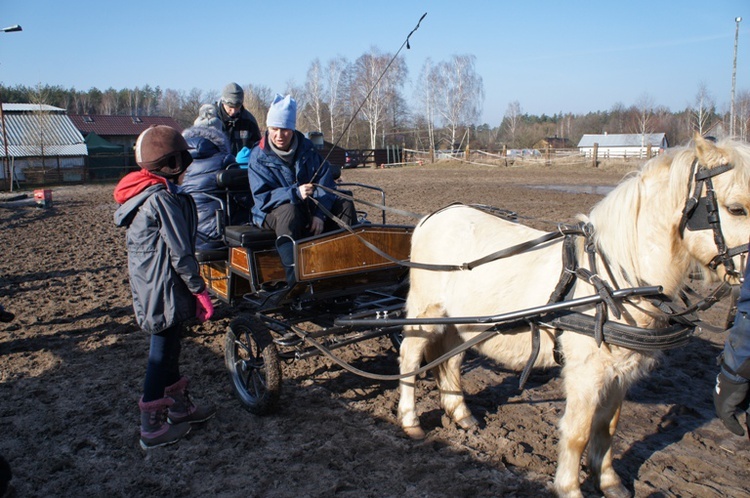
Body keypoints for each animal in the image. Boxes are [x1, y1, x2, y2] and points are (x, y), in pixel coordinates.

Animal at [402, 134, 750, 496]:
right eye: (735, 208)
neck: (613, 281)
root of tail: (433, 216)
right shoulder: (586, 373)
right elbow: (578, 433)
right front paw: (569, 486)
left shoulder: (620, 372)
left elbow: (607, 427)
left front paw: (609, 480)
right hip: (425, 312)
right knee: (410, 358)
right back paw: (410, 421)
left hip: (460, 322)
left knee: (450, 361)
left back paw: (460, 413)